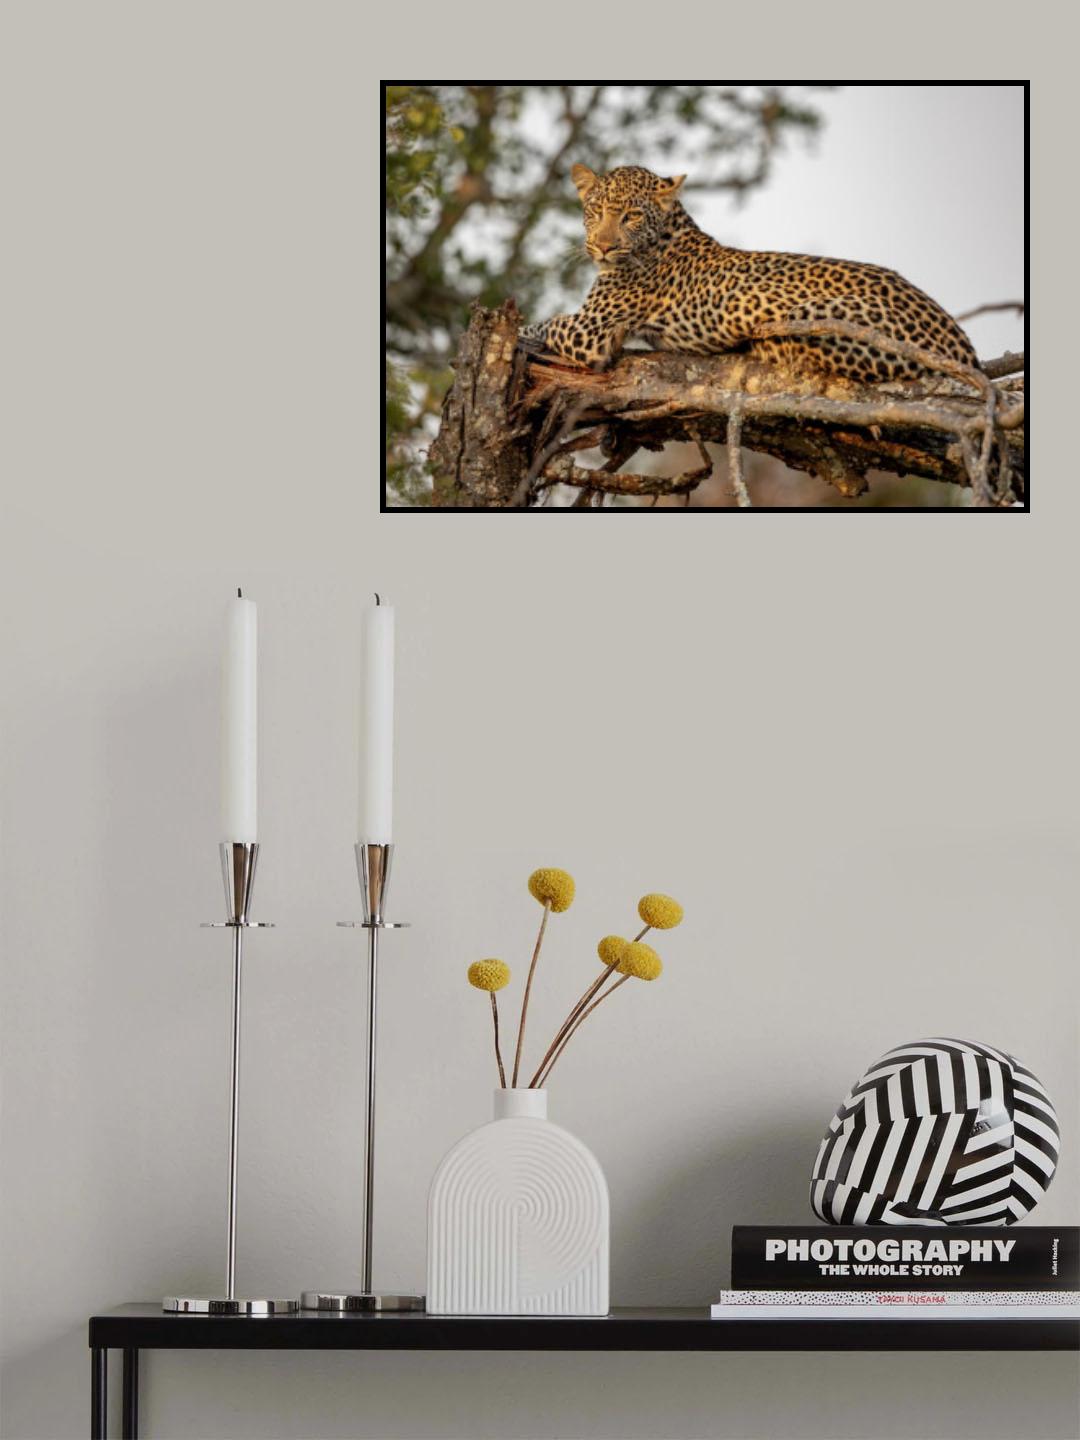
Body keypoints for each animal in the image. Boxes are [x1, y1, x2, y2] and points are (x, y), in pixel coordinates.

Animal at [519, 163, 979, 385]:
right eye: (595, 211)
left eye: (631, 216)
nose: (602, 246)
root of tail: (963, 347)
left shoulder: (591, 332)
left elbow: (546, 322)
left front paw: (523, 331)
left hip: (809, 315)